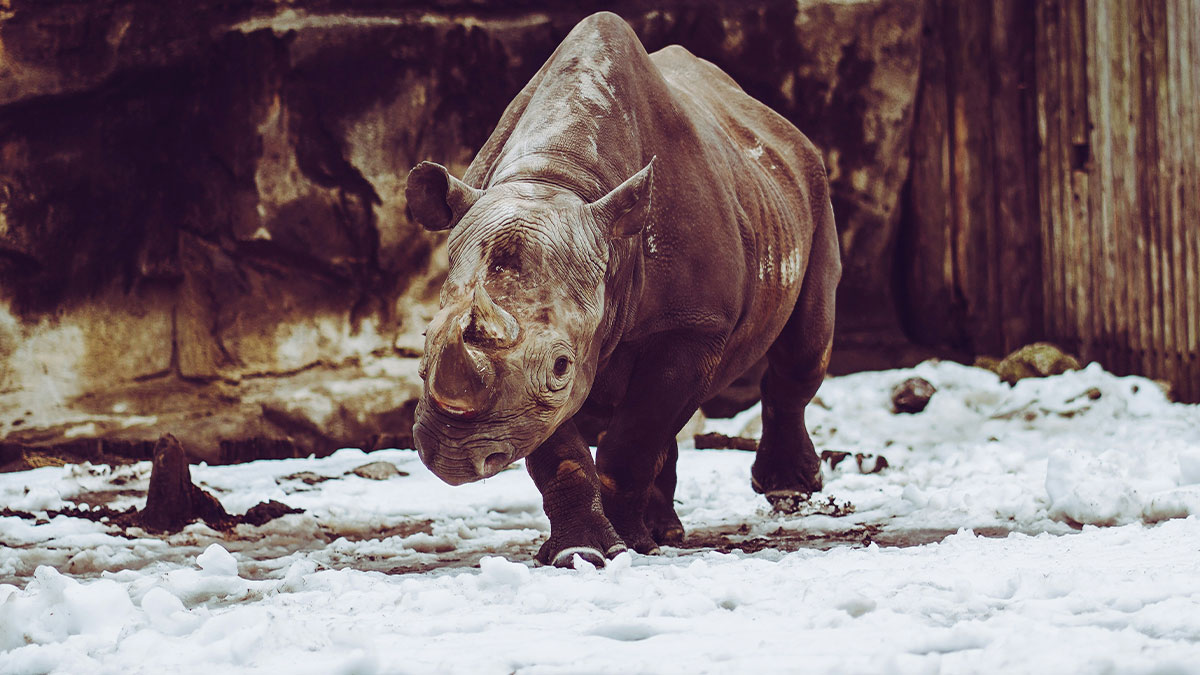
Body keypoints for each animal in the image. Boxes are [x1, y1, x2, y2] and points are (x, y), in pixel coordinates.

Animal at [406, 12, 840, 567]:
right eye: (425, 343)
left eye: (560, 365)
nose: (454, 457)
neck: (556, 178)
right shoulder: (530, 390)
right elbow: (563, 451)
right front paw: (580, 553)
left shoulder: (693, 323)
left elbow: (634, 436)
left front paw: (623, 548)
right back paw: (665, 531)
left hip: (811, 185)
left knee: (804, 347)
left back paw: (782, 493)